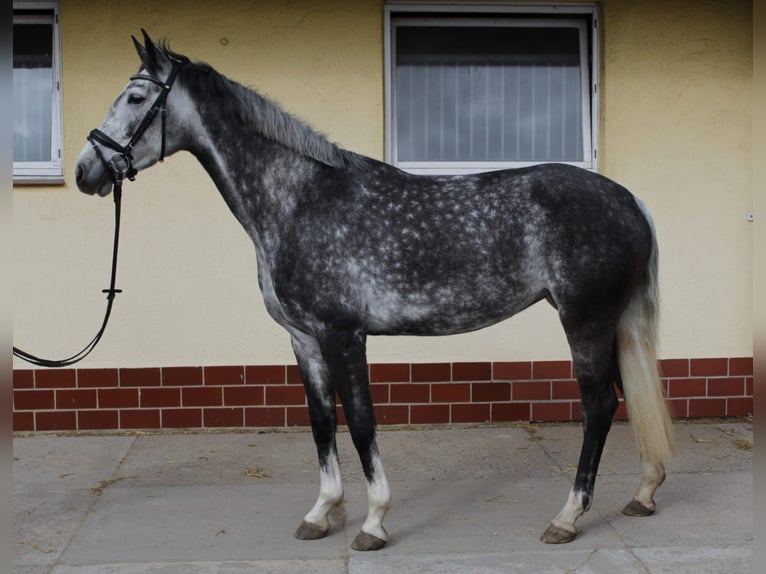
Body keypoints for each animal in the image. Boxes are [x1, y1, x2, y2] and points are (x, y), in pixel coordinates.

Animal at [75, 31, 675, 551]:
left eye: (135, 97)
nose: (85, 171)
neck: (301, 202)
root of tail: (629, 199)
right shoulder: (304, 340)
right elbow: (322, 423)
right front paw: (321, 514)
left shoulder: (344, 334)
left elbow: (362, 423)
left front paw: (374, 523)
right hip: (609, 323)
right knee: (624, 397)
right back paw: (643, 493)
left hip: (585, 321)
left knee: (598, 406)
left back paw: (567, 518)